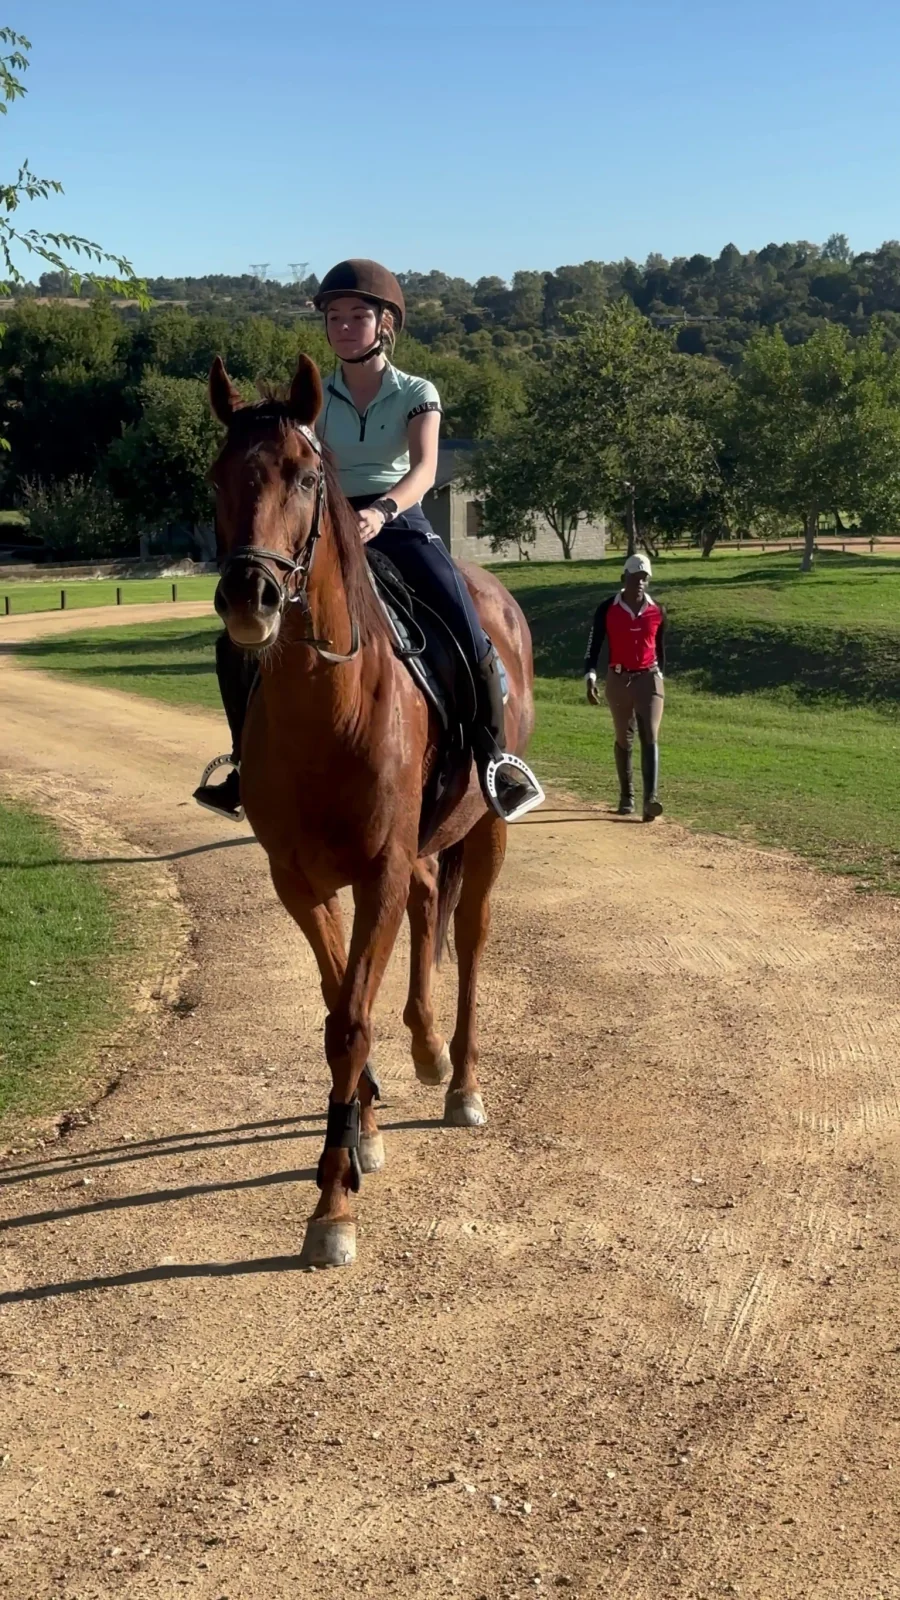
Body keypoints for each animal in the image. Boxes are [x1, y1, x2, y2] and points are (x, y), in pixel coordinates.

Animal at [209, 352, 538, 1269]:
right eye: (216, 477)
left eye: (305, 473)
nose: (249, 596)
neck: (334, 707)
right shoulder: (300, 878)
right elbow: (336, 1013)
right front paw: (363, 1130)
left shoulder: (378, 871)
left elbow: (352, 1019)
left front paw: (332, 1203)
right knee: (431, 909)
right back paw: (421, 1052)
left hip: (485, 832)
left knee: (469, 940)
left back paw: (460, 1081)